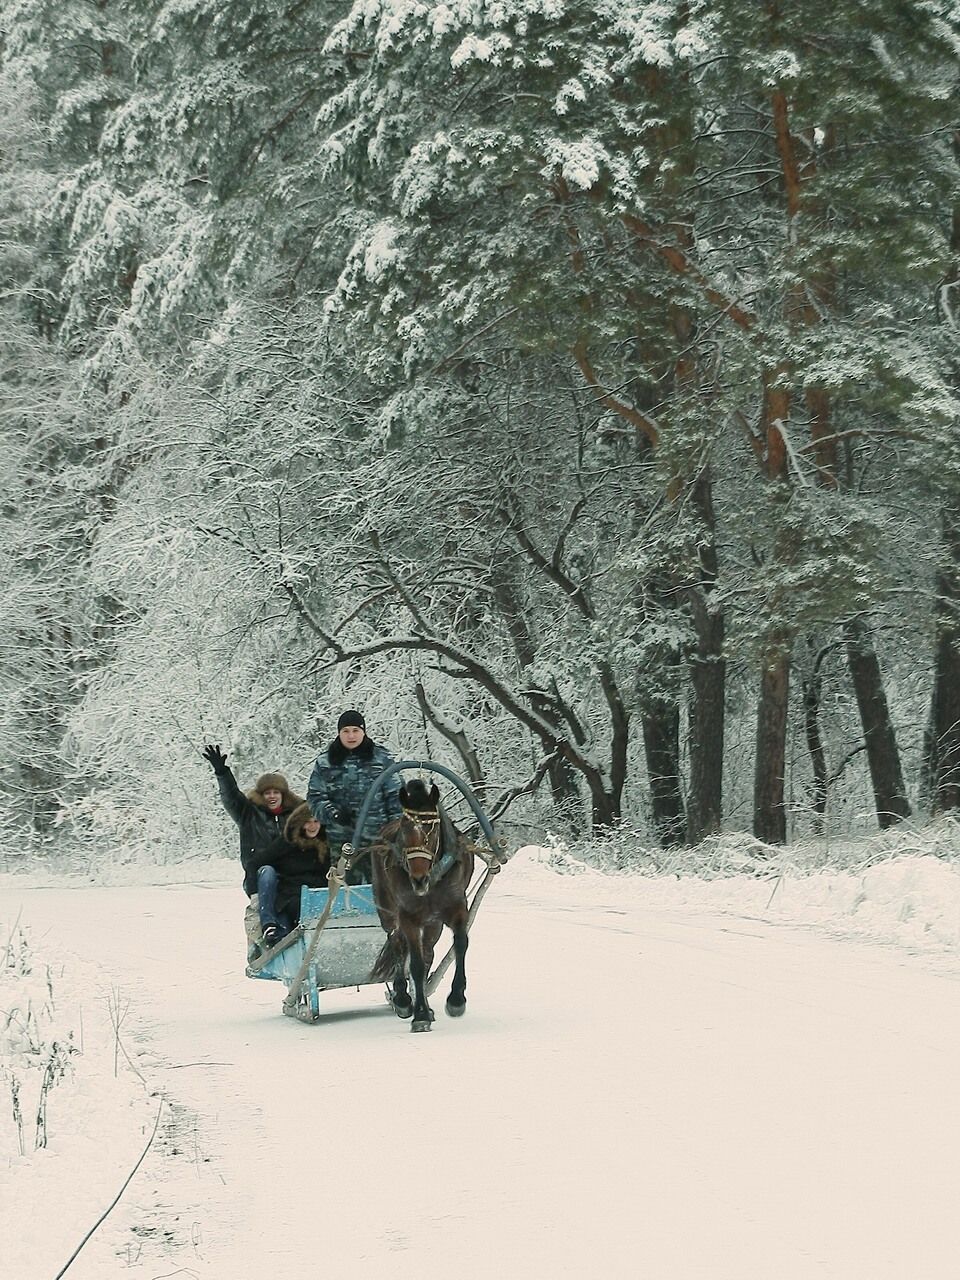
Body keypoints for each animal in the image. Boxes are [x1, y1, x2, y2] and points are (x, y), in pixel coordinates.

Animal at [371, 773, 476, 1034]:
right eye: (405, 828)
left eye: (432, 827)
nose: (418, 879)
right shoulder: (408, 917)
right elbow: (415, 965)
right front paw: (419, 1014)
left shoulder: (457, 907)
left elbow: (460, 944)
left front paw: (456, 1000)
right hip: (387, 911)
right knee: (398, 946)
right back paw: (402, 999)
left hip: (432, 923)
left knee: (427, 953)